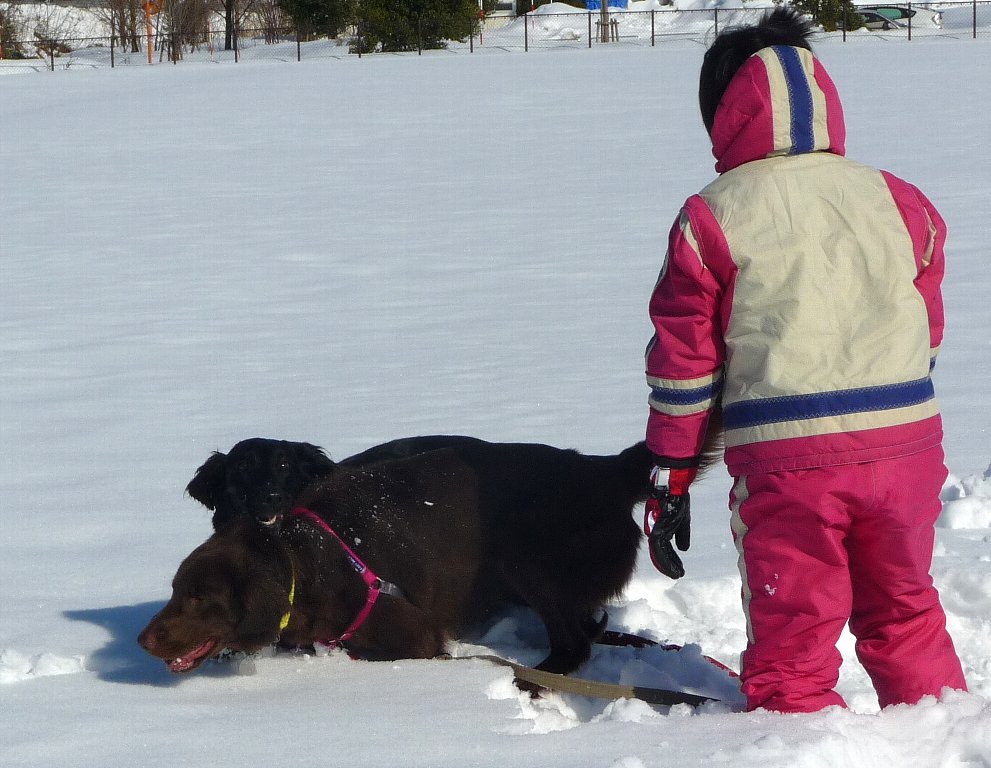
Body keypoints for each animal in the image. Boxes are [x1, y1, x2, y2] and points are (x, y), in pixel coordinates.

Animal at [148, 438, 660, 676]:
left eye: (199, 598)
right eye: (174, 590)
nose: (143, 640)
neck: (310, 561)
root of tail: (603, 469)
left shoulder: (420, 636)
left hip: (528, 564)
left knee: (575, 643)